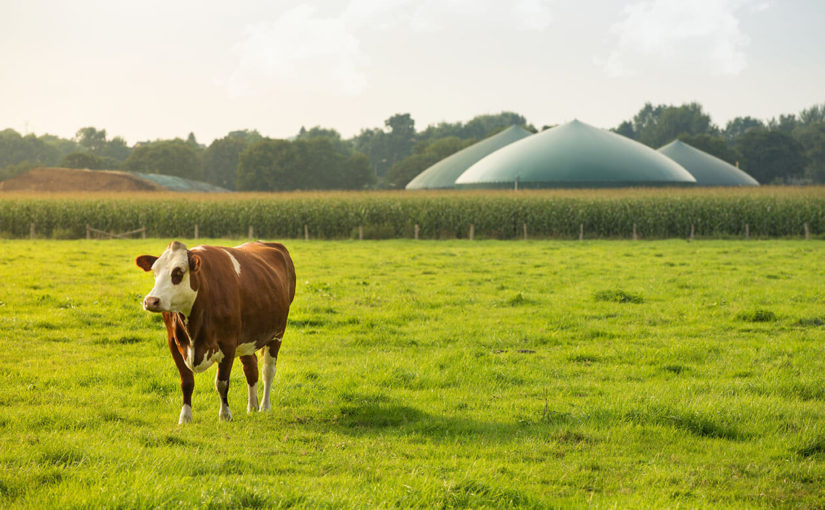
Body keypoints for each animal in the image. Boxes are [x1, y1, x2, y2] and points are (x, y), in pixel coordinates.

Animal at [132, 241, 292, 424]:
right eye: (155, 272)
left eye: (178, 272)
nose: (151, 301)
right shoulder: (174, 342)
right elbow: (186, 382)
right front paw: (185, 417)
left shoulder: (228, 343)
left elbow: (222, 382)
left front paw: (225, 415)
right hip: (247, 339)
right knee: (251, 368)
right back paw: (252, 407)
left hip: (277, 333)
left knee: (268, 371)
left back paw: (265, 407)